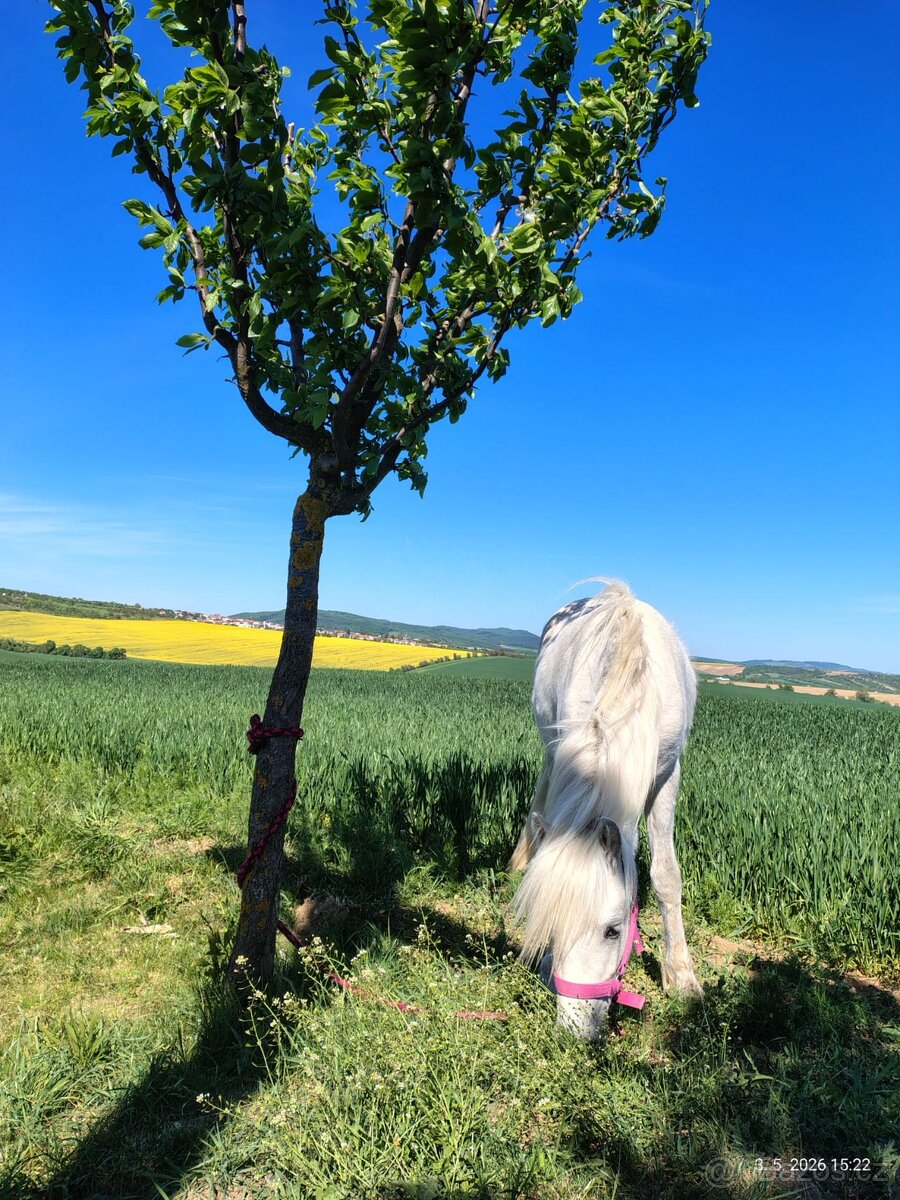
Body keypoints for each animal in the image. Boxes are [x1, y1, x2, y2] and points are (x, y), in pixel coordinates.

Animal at [509, 579, 702, 1039]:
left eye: (614, 931)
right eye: (553, 929)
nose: (574, 1030)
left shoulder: (667, 777)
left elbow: (666, 875)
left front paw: (681, 976)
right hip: (551, 746)